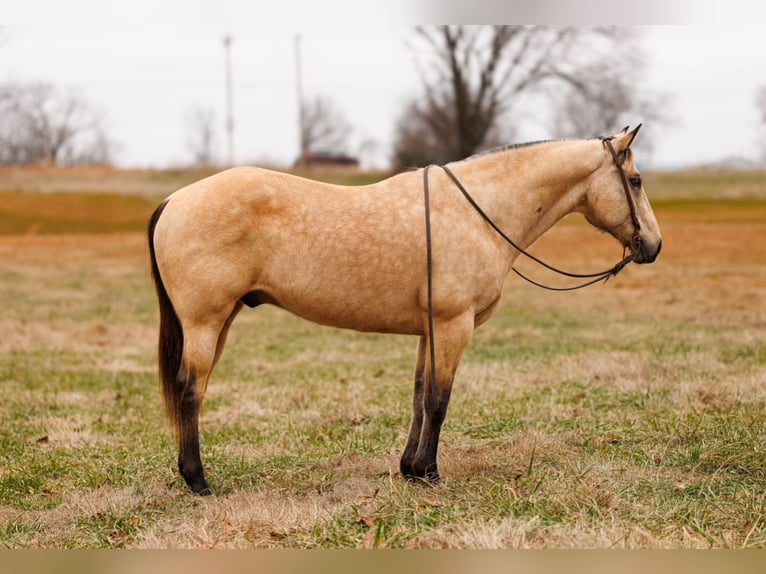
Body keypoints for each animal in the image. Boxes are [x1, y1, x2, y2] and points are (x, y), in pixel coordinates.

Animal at [148, 125, 660, 496]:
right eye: (635, 181)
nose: (653, 246)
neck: (477, 213)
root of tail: (174, 199)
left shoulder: (429, 331)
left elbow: (418, 396)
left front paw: (410, 469)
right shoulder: (454, 326)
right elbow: (439, 400)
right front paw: (430, 474)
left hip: (221, 320)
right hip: (205, 322)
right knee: (190, 391)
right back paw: (198, 481)